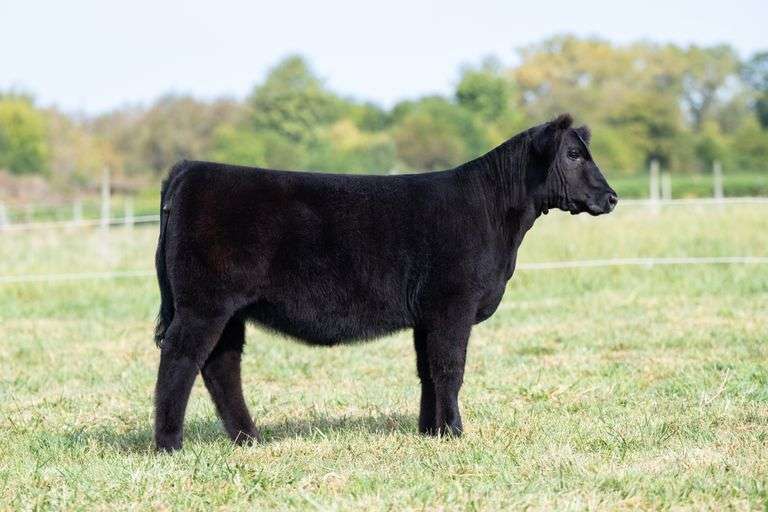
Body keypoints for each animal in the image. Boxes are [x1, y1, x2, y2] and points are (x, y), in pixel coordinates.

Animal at [152, 113, 618, 451]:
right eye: (574, 154)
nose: (612, 197)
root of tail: (189, 169)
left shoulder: (427, 313)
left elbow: (427, 371)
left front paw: (431, 431)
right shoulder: (453, 304)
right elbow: (450, 368)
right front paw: (455, 432)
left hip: (229, 311)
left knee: (221, 366)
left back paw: (249, 439)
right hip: (203, 305)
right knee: (180, 359)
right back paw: (169, 444)